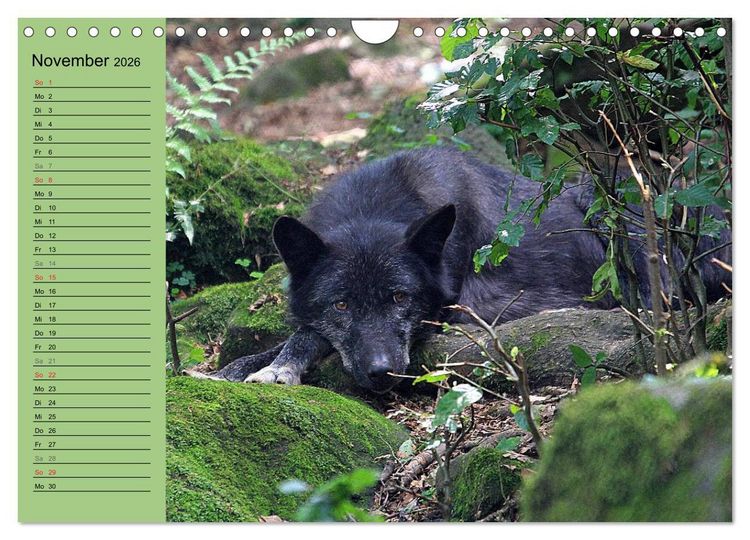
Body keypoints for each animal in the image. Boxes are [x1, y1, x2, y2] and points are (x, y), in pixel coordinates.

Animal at [214, 147, 730, 392]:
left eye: (400, 298)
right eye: (341, 304)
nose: (383, 373)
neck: (375, 205)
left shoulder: (445, 311)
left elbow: (306, 334)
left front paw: (279, 368)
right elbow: (286, 337)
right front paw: (234, 370)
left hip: (610, 200)